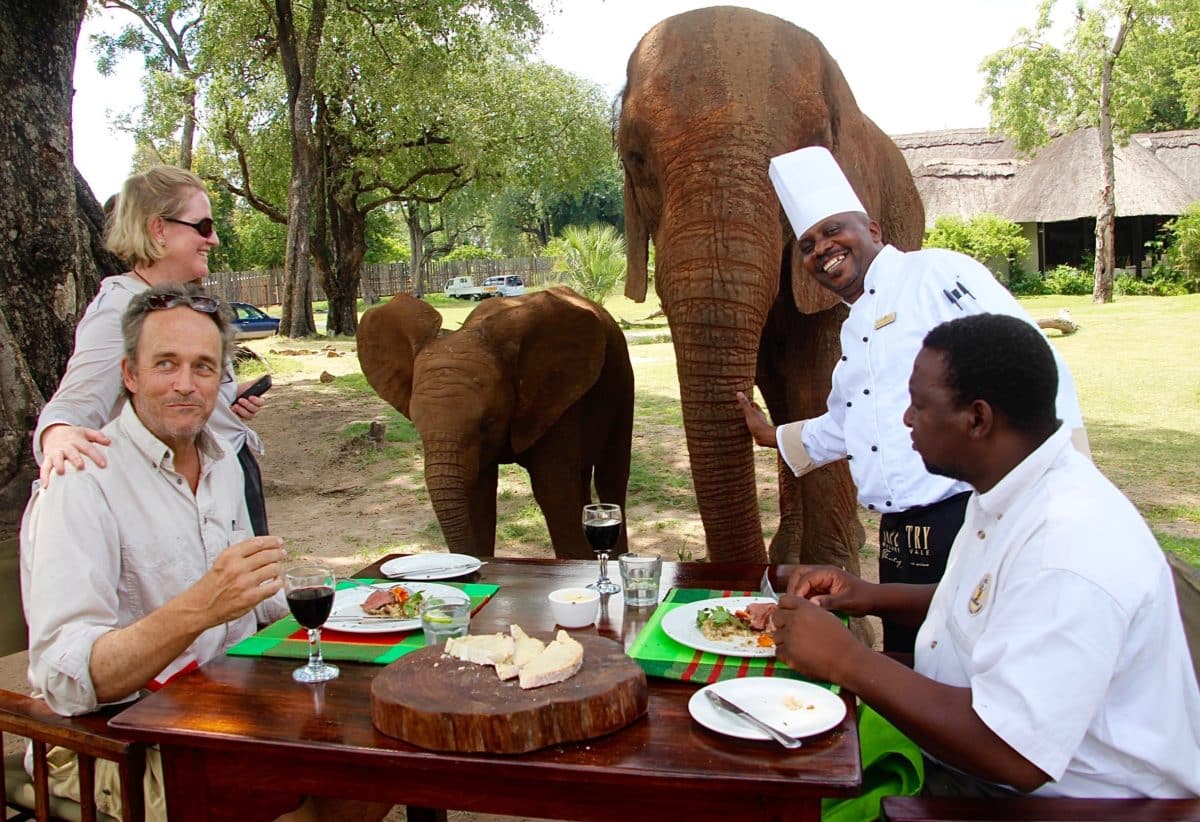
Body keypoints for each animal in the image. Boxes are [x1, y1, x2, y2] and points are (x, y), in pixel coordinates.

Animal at [356, 286, 634, 560]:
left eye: (487, 423)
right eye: (416, 426)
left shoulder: (556, 399)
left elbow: (553, 492)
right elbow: (479, 496)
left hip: (622, 383)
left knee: (611, 476)